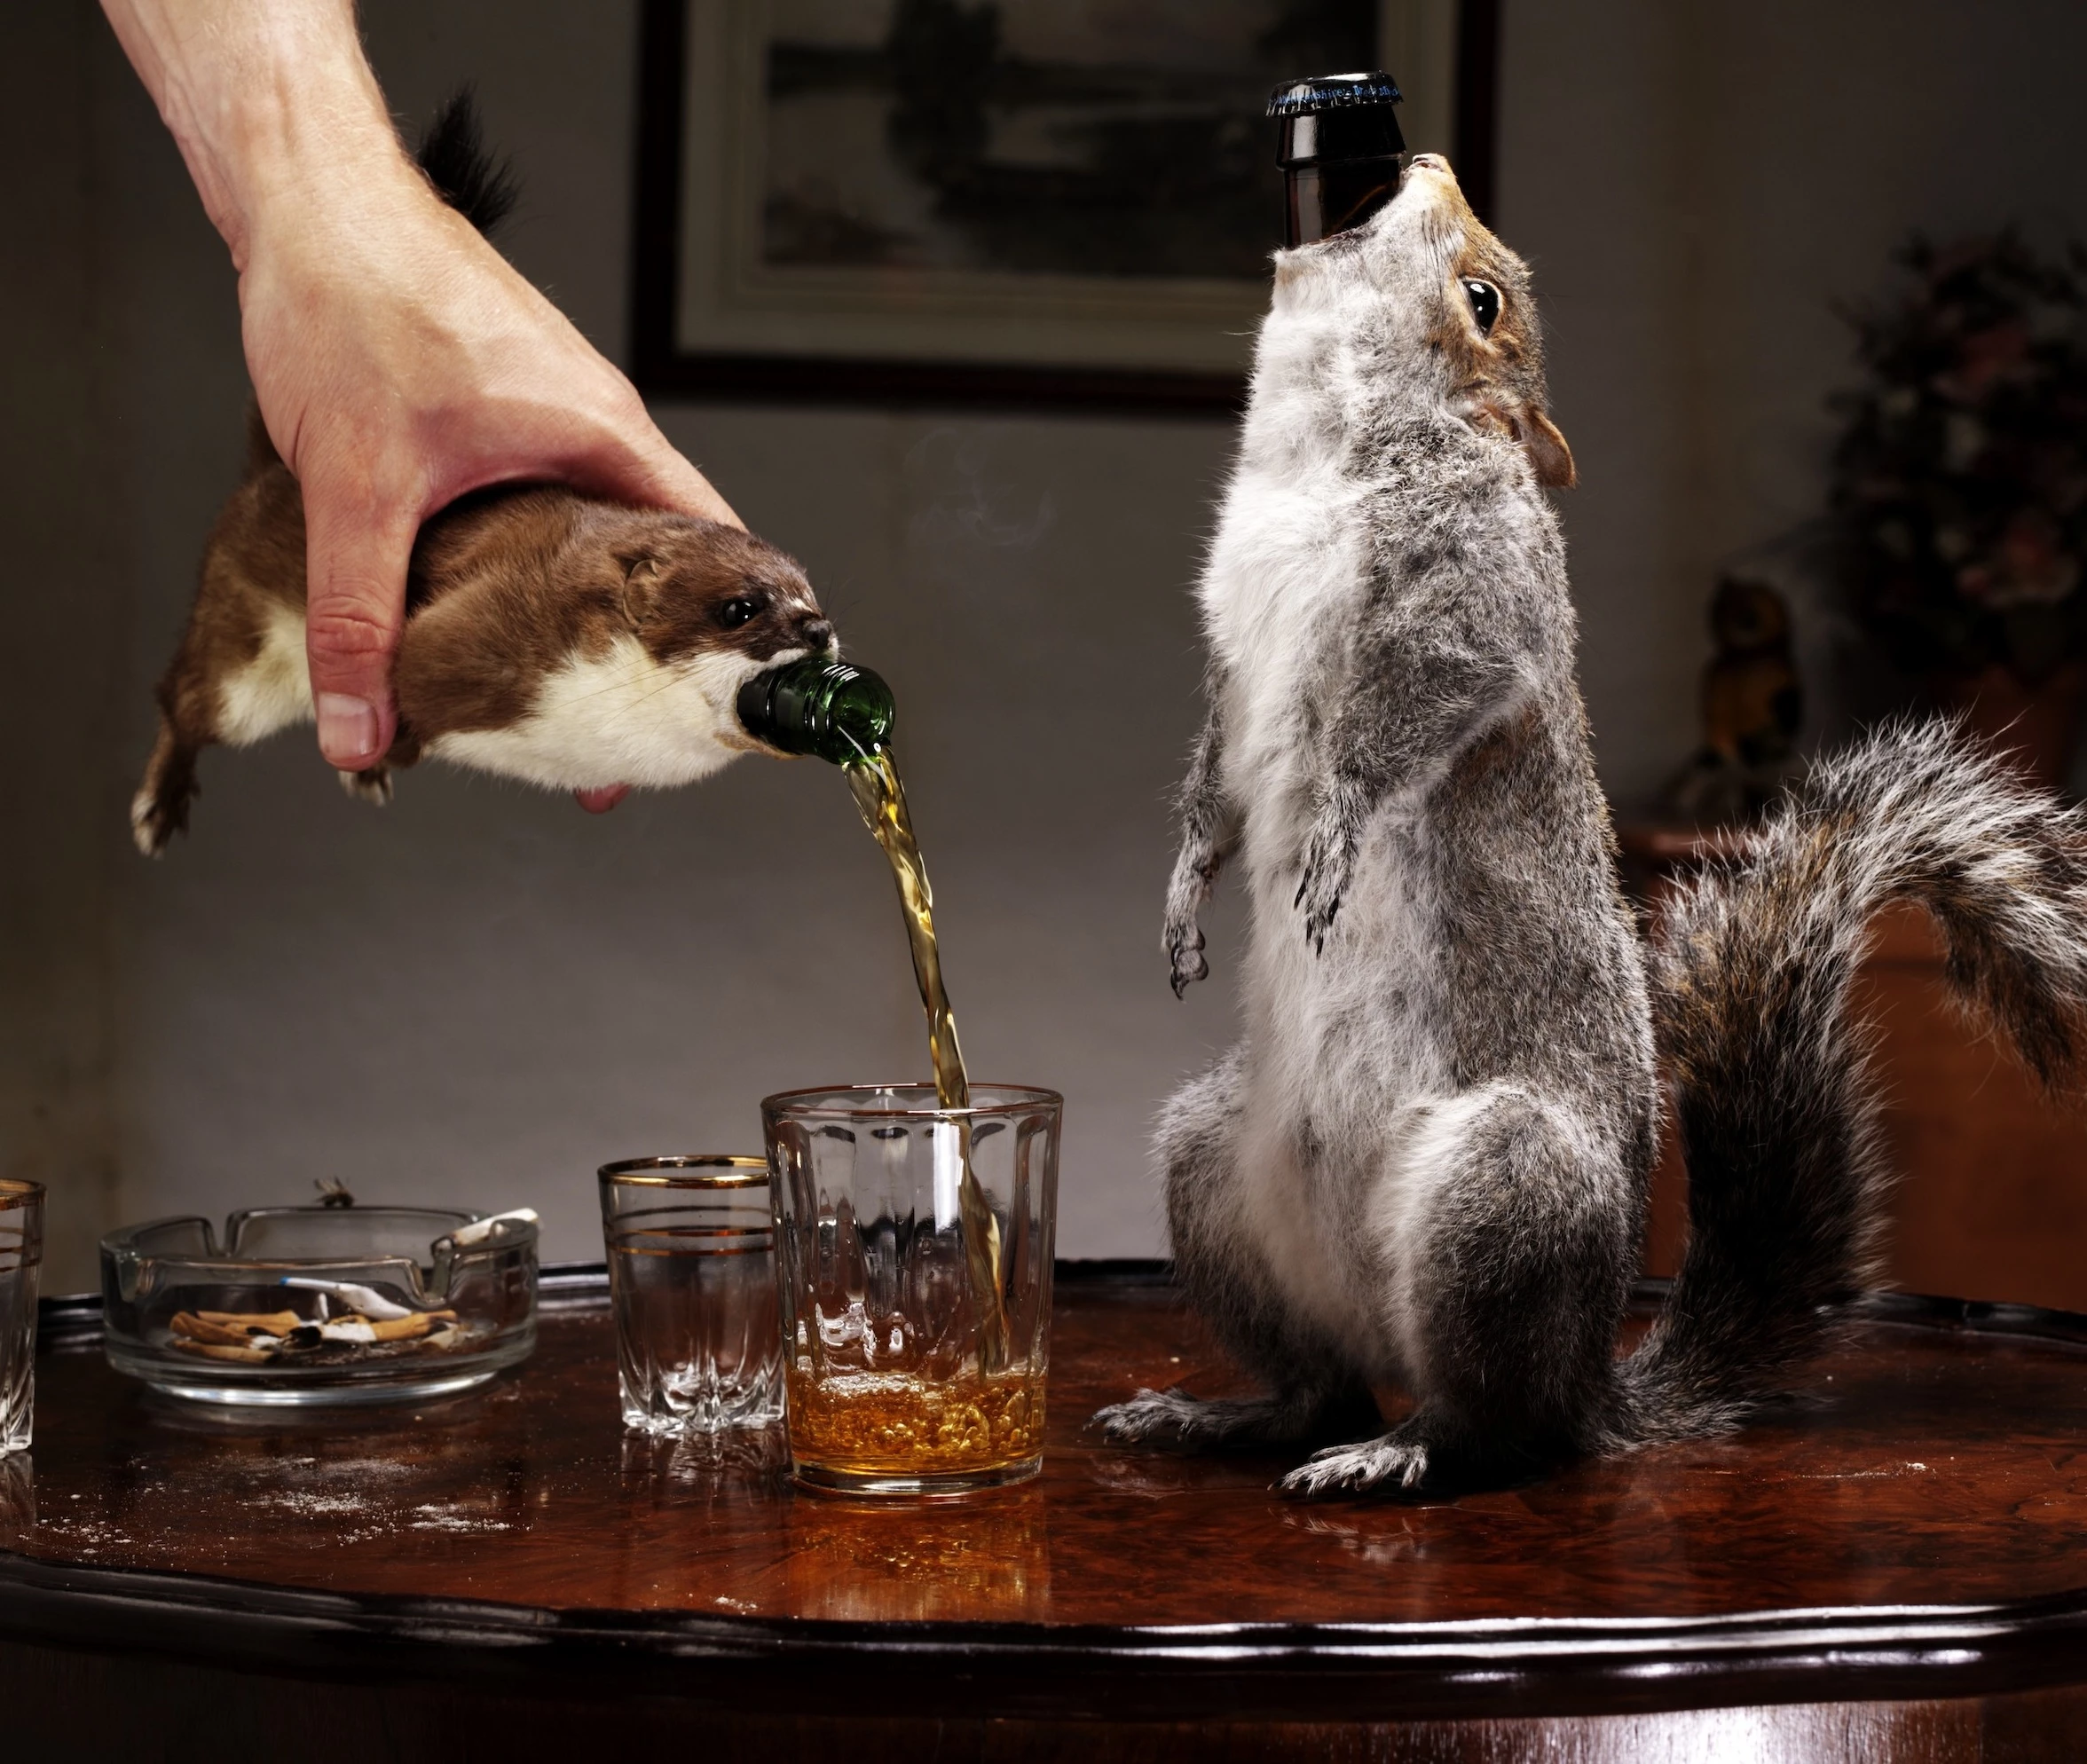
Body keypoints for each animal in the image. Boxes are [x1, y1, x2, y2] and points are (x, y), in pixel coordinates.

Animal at [1094, 155, 2087, 1495]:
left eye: (1483, 299)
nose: (1428, 166)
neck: (1319, 449)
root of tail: (1591, 1382)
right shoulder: (1231, 652)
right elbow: (1211, 780)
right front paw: (1187, 886)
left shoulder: (1475, 596)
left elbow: (1407, 717)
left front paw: (1337, 826)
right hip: (1213, 1164)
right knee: (1318, 1385)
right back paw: (1234, 1415)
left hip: (1504, 1187)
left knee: (1488, 1424)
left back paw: (1402, 1449)